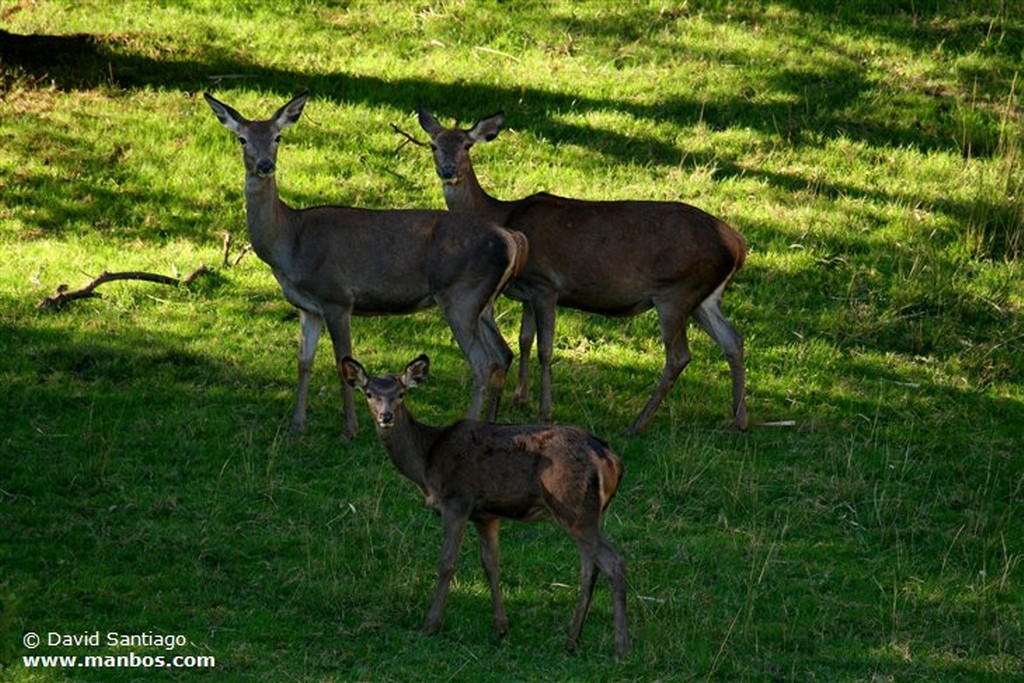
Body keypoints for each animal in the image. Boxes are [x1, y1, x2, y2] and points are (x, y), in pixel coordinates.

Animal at [206, 89, 528, 438]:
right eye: (242, 138)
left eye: (277, 136)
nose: (265, 165)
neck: (289, 244)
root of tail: (510, 237)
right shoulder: (307, 307)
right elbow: (303, 362)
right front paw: (296, 425)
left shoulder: (337, 297)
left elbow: (341, 363)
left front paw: (350, 429)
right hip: (483, 301)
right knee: (502, 354)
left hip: (461, 295)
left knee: (482, 362)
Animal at [344, 352, 626, 655]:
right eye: (369, 393)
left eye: (401, 393)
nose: (385, 417)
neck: (427, 460)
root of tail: (610, 459)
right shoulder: (486, 514)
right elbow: (491, 562)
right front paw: (501, 627)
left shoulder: (457, 501)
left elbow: (446, 562)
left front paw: (431, 624)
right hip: (586, 513)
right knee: (590, 567)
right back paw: (572, 640)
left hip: (573, 506)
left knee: (613, 562)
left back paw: (621, 647)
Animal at [411, 109, 749, 436]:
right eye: (434, 145)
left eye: (467, 145)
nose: (448, 171)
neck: (503, 214)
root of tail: (737, 243)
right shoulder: (527, 293)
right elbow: (524, 339)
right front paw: (519, 398)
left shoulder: (546, 284)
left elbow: (545, 348)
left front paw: (544, 411)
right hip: (704, 297)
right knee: (733, 339)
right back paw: (738, 420)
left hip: (676, 292)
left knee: (679, 356)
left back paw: (637, 424)